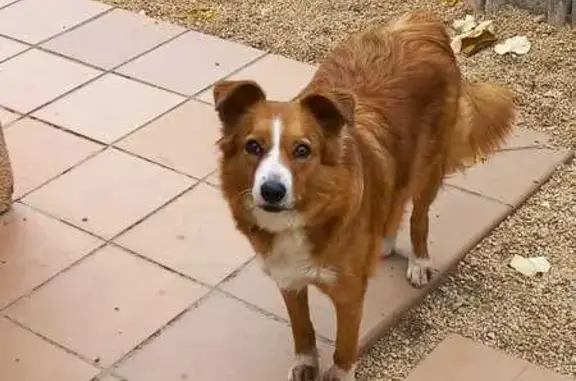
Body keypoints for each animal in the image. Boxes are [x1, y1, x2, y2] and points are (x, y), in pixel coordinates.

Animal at [210, 11, 512, 380]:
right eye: (253, 146)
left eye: (302, 150)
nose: (272, 191)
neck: (307, 214)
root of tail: (420, 22)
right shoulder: (288, 279)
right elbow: (302, 329)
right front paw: (306, 363)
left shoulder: (349, 294)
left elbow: (345, 343)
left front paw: (339, 372)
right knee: (395, 200)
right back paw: (383, 241)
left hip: (427, 167)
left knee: (419, 214)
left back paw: (419, 261)